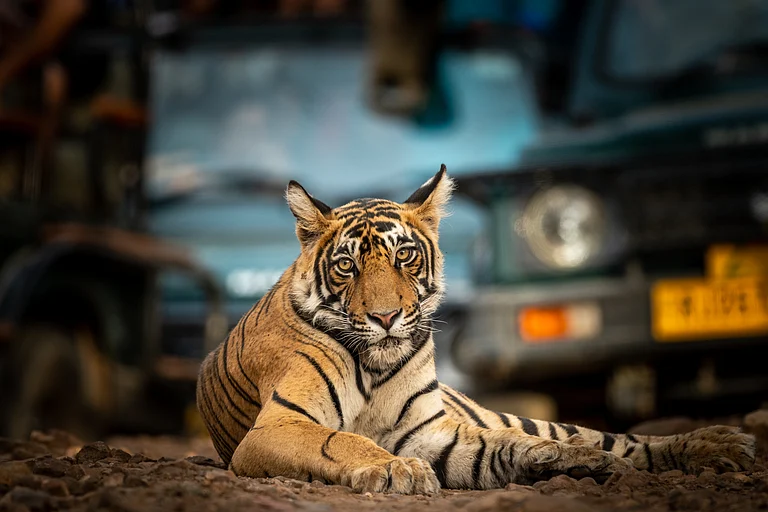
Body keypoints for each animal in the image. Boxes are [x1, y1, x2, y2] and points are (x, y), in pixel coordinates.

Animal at [196, 165, 755, 494]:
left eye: (403, 257)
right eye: (347, 267)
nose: (385, 317)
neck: (376, 366)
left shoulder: (429, 433)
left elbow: (495, 445)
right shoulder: (277, 427)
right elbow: (343, 440)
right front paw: (398, 470)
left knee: (611, 438)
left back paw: (719, 445)